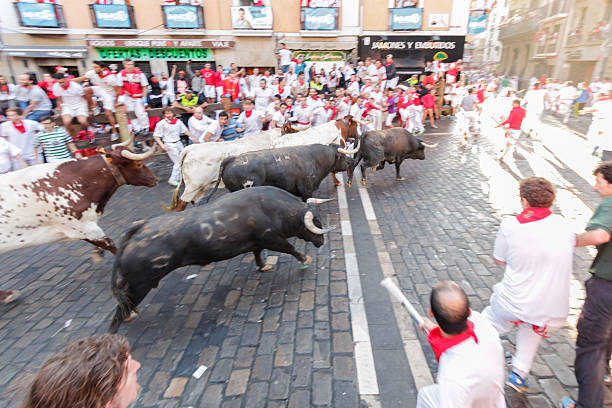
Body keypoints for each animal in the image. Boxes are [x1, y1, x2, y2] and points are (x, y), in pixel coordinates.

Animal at [112, 186, 338, 334]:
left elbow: (258, 254)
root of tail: (138, 229)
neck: (271, 208)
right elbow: (290, 249)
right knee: (118, 314)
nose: (321, 241)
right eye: (317, 222)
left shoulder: (257, 243)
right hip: (140, 285)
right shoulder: (273, 239)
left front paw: (263, 266)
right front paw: (304, 258)